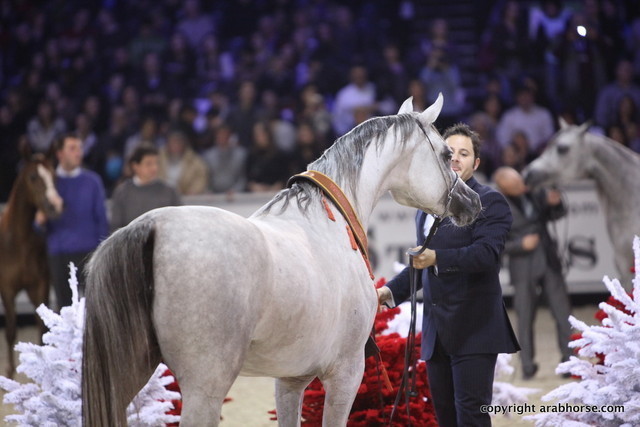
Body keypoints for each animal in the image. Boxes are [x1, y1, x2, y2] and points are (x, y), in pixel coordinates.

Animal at [0, 154, 63, 378]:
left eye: (54, 175)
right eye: (33, 176)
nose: (54, 206)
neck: (19, 241)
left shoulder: (40, 286)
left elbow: (41, 329)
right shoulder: (7, 289)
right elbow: (10, 331)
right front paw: (9, 373)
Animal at [82, 95, 482, 426]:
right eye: (447, 155)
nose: (473, 202)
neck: (330, 219)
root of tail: (151, 227)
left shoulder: (291, 379)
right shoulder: (346, 373)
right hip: (204, 387)